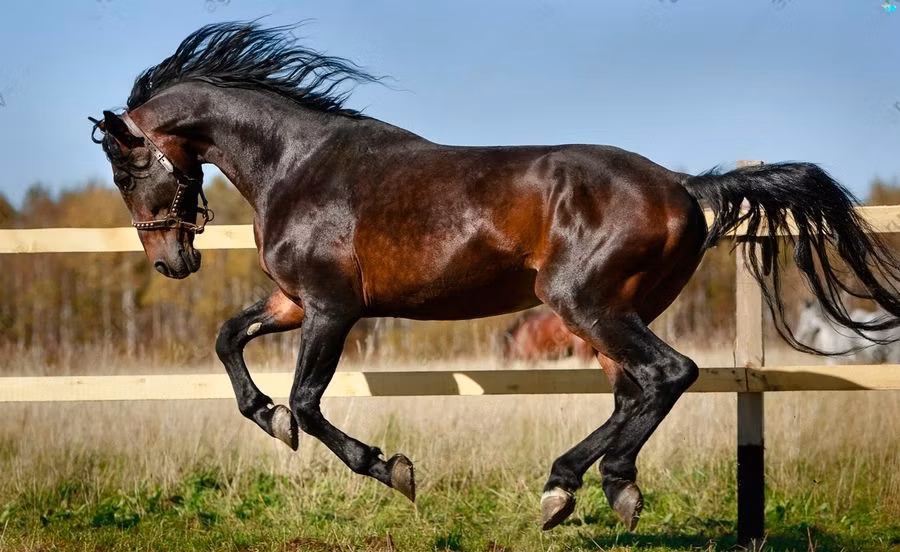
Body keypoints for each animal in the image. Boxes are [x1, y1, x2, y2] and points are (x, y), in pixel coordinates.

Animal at [89, 22, 900, 531]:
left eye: (127, 169)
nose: (171, 262)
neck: (297, 164)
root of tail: (683, 187)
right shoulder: (291, 302)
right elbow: (230, 340)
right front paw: (270, 421)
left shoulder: (330, 308)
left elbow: (311, 403)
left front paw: (390, 469)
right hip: (607, 315)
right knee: (636, 390)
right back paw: (595, 488)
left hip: (584, 304)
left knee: (669, 374)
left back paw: (575, 485)